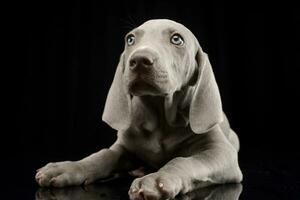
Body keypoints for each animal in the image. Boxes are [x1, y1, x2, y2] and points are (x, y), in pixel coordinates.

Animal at [35, 19, 241, 200]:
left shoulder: (222, 152)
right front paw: (67, 168)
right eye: (130, 39)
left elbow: (185, 160)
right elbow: (102, 155)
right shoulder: (124, 146)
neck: (161, 116)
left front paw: (157, 180)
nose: (140, 59)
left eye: (177, 39)